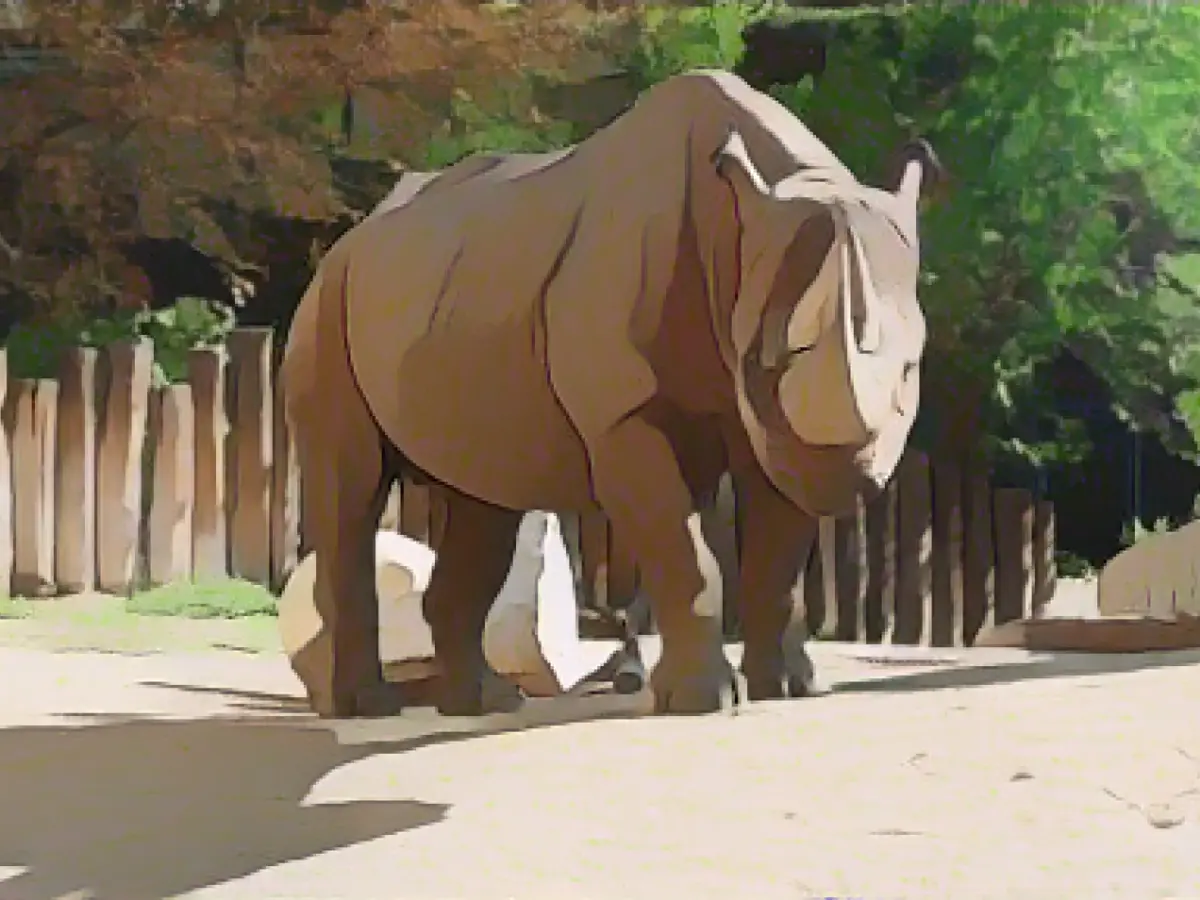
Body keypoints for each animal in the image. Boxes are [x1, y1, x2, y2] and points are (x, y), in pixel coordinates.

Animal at [282, 69, 937, 719]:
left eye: (910, 370)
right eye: (767, 360)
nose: (844, 474)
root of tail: (354, 236)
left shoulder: (768, 425)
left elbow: (774, 559)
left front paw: (787, 689)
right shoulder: (626, 417)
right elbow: (684, 552)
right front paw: (701, 701)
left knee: (483, 502)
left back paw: (485, 702)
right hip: (327, 300)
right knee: (352, 490)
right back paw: (368, 706)